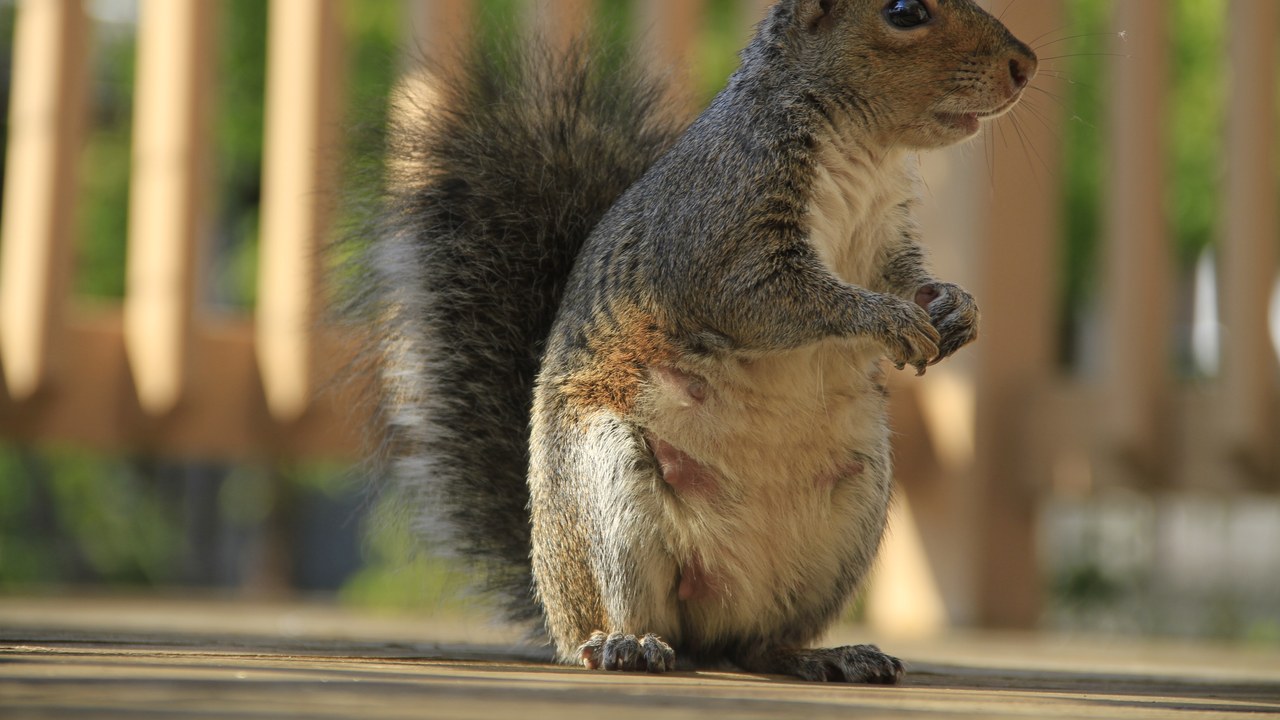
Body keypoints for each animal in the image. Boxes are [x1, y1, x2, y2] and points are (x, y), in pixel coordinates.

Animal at [366, 0, 1036, 683]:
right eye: (905, 13)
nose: (1025, 65)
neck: (865, 151)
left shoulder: (885, 240)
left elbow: (910, 279)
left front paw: (958, 309)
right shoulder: (721, 229)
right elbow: (776, 298)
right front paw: (887, 319)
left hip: (856, 506)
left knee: (759, 644)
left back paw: (825, 653)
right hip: (609, 486)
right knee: (623, 616)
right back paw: (626, 644)